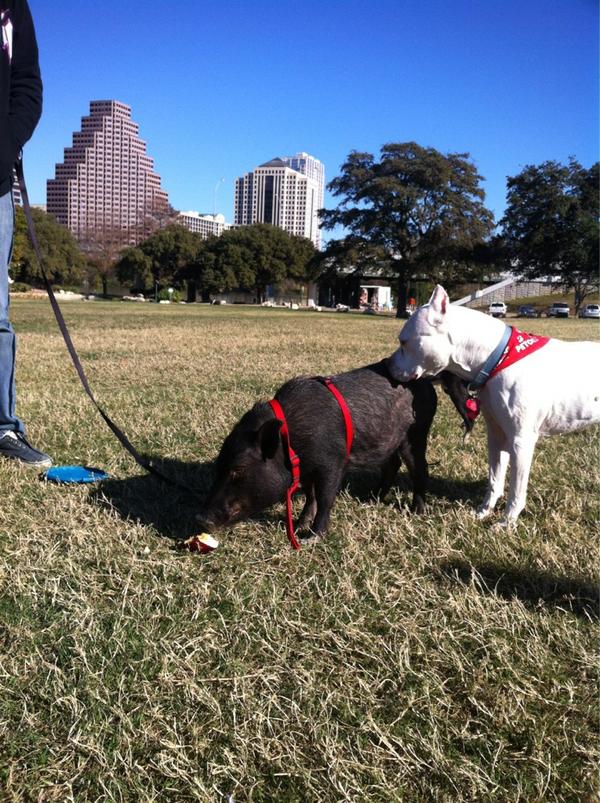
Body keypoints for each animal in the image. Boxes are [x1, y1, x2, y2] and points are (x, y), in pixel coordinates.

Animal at [197, 361, 471, 540]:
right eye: (218, 466)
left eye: (238, 470)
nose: (201, 519)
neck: (293, 444)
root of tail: (425, 380)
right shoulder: (307, 470)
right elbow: (311, 496)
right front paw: (298, 525)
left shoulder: (333, 462)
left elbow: (326, 497)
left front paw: (310, 537)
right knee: (392, 464)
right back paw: (372, 498)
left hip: (416, 433)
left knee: (419, 469)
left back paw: (417, 512)